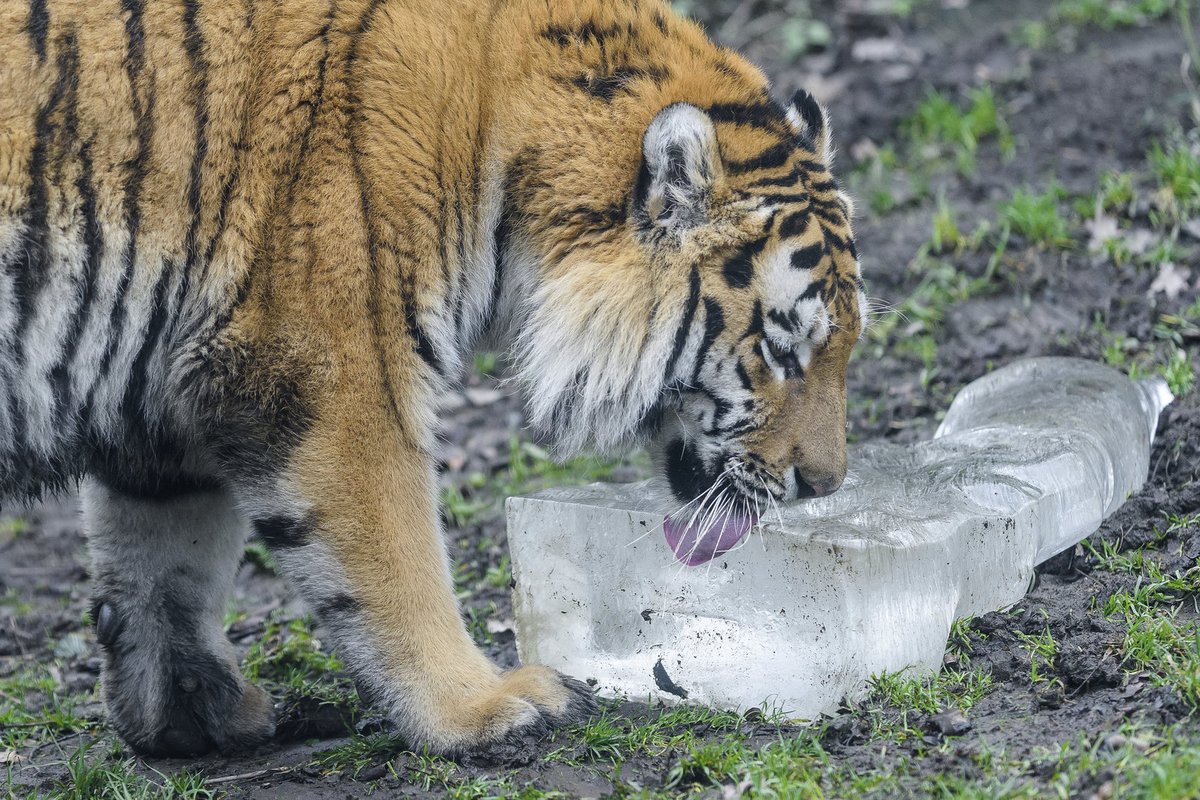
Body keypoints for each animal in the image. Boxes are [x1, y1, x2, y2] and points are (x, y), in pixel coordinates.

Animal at [0, 0, 864, 758]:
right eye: (782, 350)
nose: (823, 485)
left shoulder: (165, 390)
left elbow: (164, 558)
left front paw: (186, 713)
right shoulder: (336, 371)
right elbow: (400, 561)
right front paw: (485, 706)